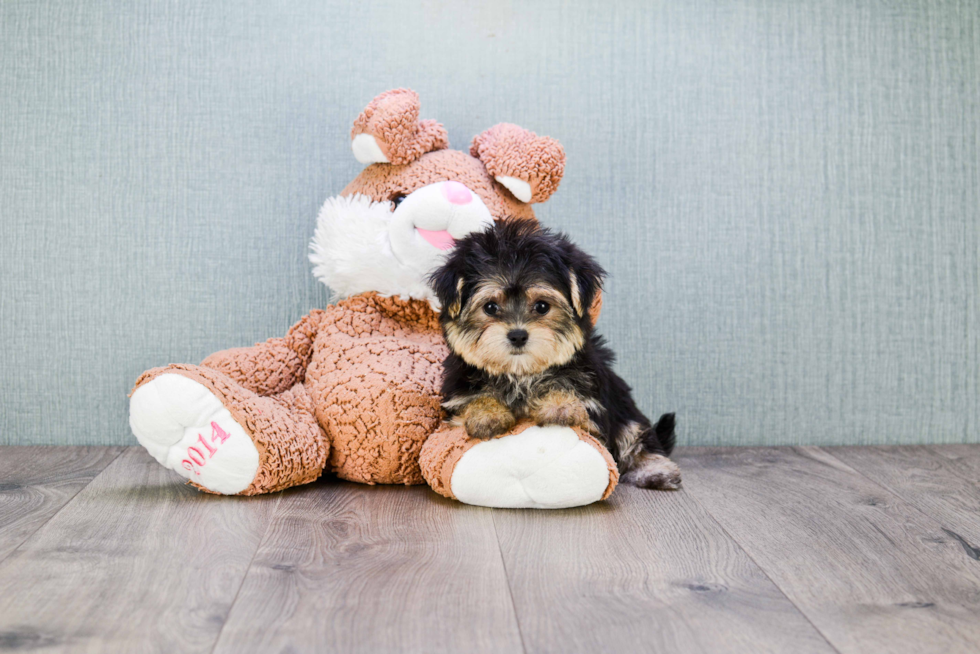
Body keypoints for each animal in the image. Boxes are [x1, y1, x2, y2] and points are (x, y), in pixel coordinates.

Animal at [430, 220, 680, 492]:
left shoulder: (594, 412)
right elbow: (469, 402)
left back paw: (657, 470)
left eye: (542, 306)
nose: (517, 335)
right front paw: (486, 413)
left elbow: (572, 395)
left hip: (623, 406)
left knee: (636, 435)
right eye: (490, 307)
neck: (521, 373)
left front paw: (559, 404)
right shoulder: (455, 401)